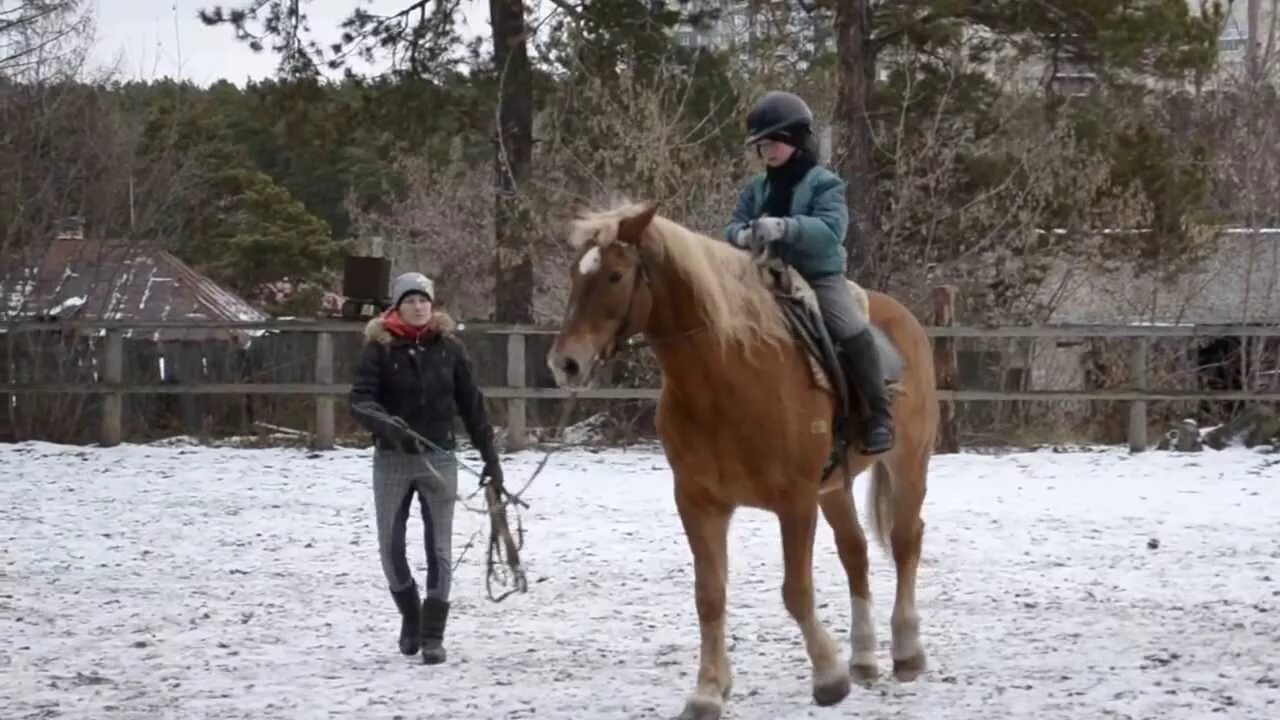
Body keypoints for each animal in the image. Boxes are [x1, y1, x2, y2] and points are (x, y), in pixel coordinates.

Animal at [545, 198, 936, 712]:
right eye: (575, 272)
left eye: (614, 275)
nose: (565, 363)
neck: (728, 374)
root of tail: (903, 318)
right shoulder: (699, 502)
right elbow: (709, 596)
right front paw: (709, 691)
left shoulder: (795, 502)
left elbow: (796, 591)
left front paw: (828, 677)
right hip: (835, 485)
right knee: (856, 552)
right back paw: (865, 658)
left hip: (908, 462)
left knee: (906, 540)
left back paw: (907, 651)